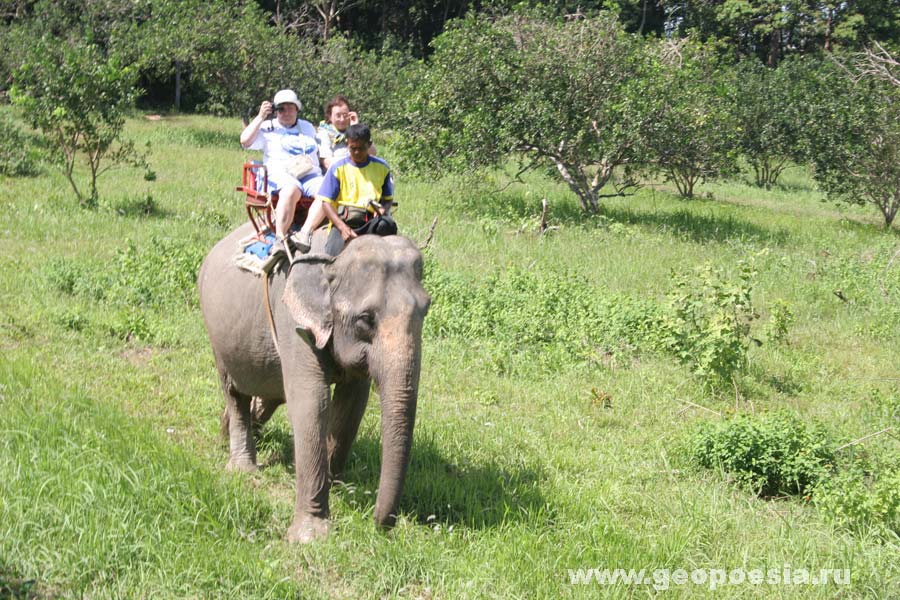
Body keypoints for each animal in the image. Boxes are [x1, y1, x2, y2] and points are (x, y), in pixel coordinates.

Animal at [199, 226, 430, 544]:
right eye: (365, 319)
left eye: (426, 310)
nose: (379, 525)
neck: (335, 258)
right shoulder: (293, 321)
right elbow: (311, 401)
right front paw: (310, 536)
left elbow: (351, 405)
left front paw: (336, 487)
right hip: (217, 336)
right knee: (235, 393)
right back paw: (242, 467)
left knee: (268, 393)